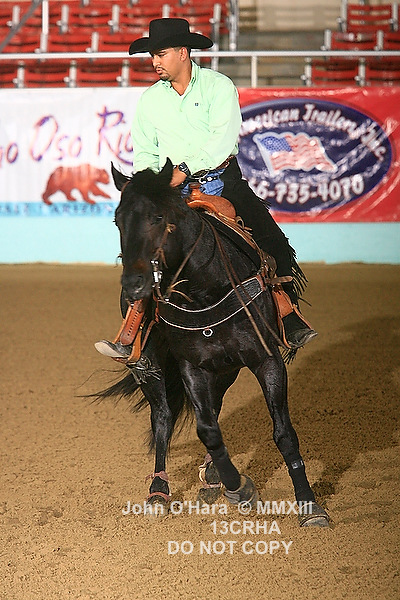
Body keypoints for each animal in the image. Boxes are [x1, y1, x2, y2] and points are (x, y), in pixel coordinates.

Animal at [95, 159, 329, 527]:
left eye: (158, 217)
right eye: (119, 219)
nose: (134, 284)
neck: (204, 288)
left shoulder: (266, 360)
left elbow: (283, 432)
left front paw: (309, 505)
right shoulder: (192, 365)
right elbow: (206, 429)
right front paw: (239, 488)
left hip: (228, 368)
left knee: (215, 407)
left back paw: (211, 478)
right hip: (155, 367)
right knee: (163, 416)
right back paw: (159, 492)